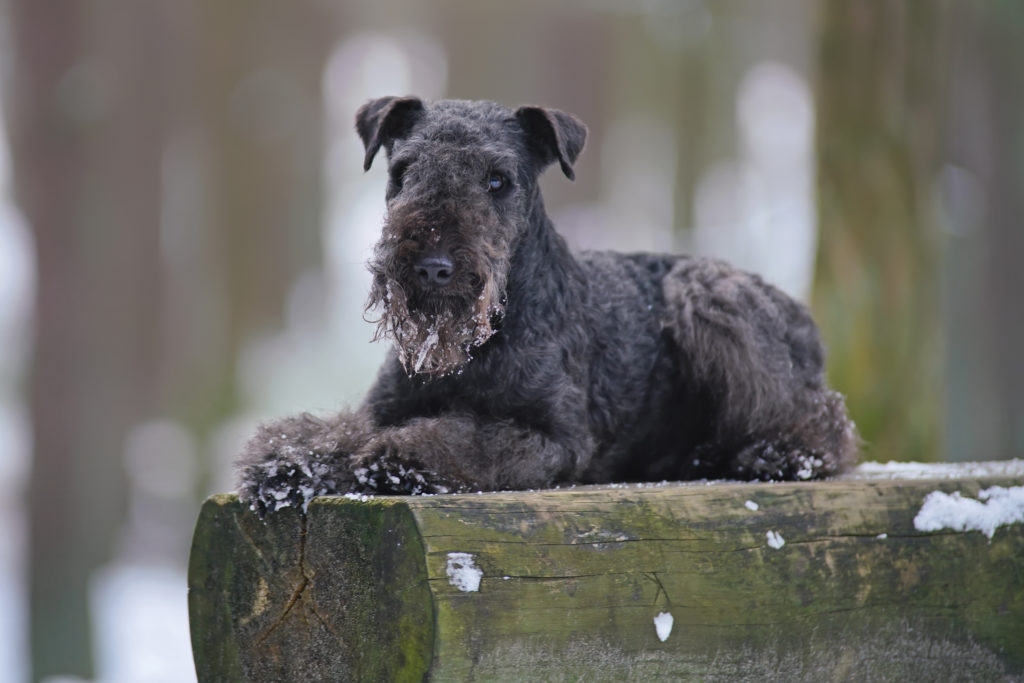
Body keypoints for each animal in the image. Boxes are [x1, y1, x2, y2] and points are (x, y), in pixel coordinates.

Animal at [237, 94, 856, 511]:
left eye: (497, 179)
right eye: (402, 171)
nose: (433, 268)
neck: (476, 346)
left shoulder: (555, 439)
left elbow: (463, 438)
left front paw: (399, 458)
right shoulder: (382, 409)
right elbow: (344, 431)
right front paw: (292, 461)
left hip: (706, 294)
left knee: (824, 420)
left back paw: (778, 454)